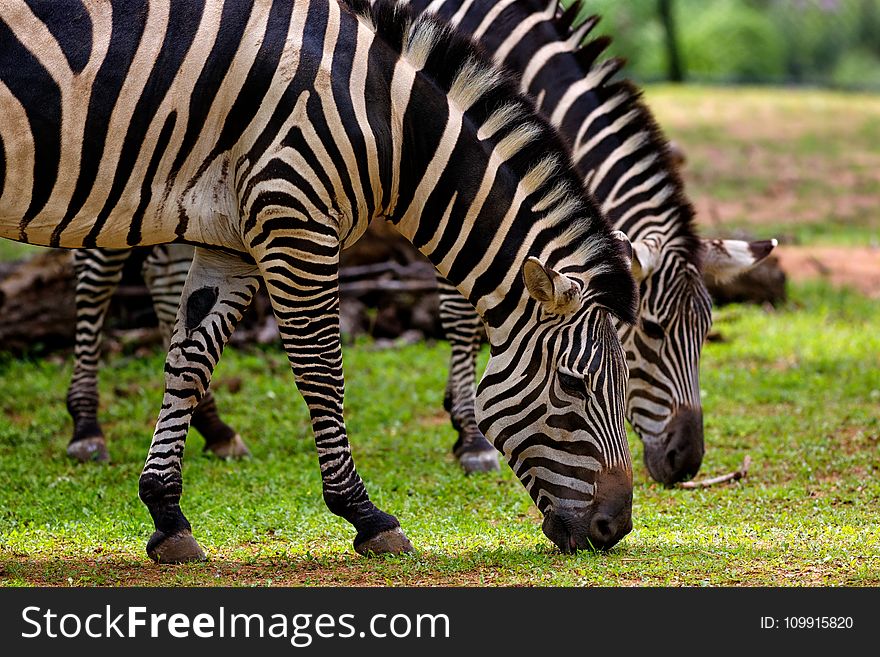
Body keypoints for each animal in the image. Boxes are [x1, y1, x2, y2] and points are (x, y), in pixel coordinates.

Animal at [406, 0, 776, 482]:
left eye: (706, 331)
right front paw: (472, 439)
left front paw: (458, 411)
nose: (686, 463)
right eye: (652, 330)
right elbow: (463, 316)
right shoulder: (450, 199)